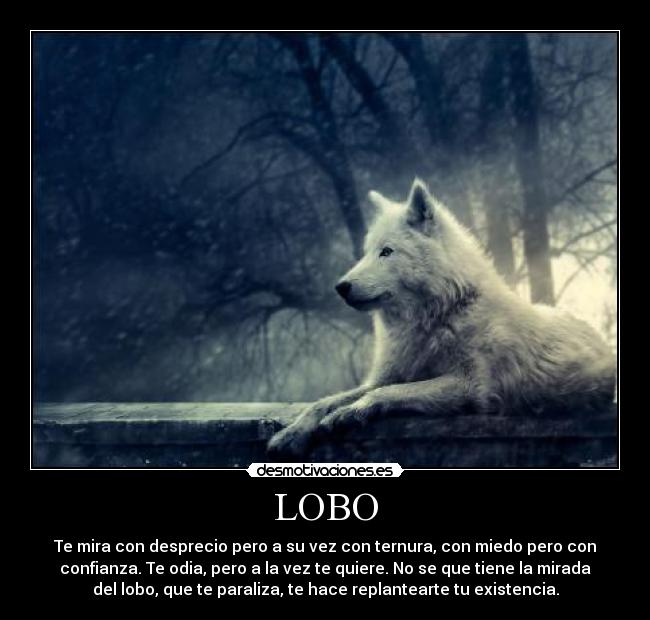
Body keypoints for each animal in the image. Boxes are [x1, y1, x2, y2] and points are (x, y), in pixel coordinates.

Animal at [267, 179, 616, 458]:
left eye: (386, 252)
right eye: (366, 252)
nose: (341, 287)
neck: (437, 315)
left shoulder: (470, 386)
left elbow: (388, 393)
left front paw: (352, 412)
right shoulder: (386, 375)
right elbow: (325, 401)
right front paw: (292, 433)